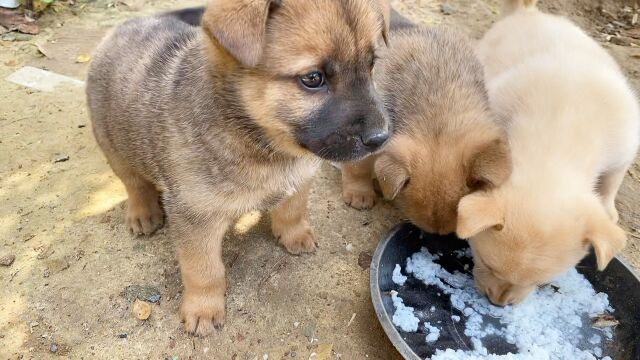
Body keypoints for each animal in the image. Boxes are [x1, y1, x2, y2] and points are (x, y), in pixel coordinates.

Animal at [85, 0, 390, 338]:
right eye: (313, 78)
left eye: (372, 65)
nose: (381, 137)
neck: (263, 145)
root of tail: (123, 27)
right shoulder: (197, 216)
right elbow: (204, 269)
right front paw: (203, 308)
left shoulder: (300, 178)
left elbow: (292, 210)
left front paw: (294, 235)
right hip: (114, 146)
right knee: (133, 182)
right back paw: (143, 213)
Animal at [460, 0, 640, 304]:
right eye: (485, 263)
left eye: (543, 283)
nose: (498, 304)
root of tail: (526, 12)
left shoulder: (624, 148)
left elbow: (611, 183)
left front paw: (608, 210)